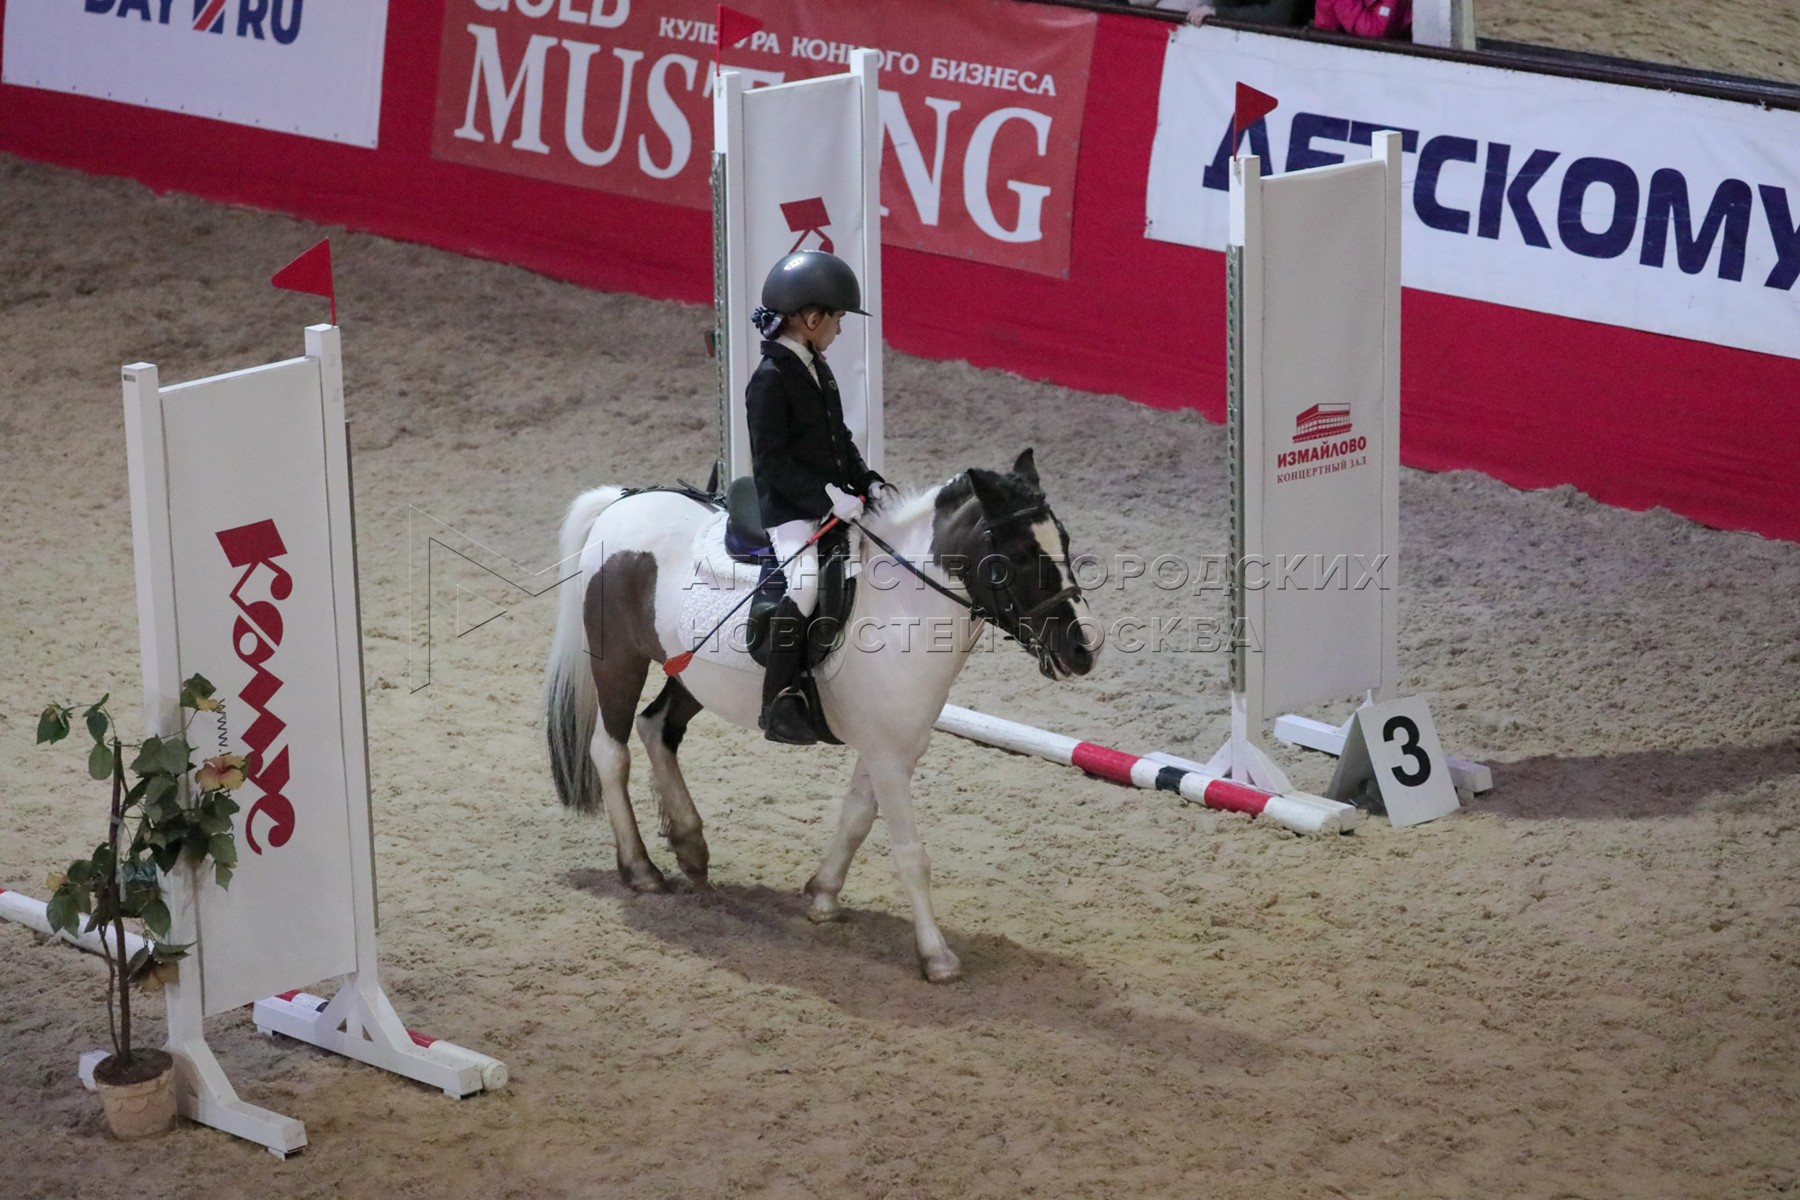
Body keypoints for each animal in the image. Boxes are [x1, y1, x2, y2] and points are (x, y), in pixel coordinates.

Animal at [536, 449, 1094, 985]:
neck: (900, 609)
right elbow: (910, 854)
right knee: (612, 753)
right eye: (1018, 556)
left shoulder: (893, 748)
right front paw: (937, 957)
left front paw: (823, 896)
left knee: (658, 729)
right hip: (619, 661)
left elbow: (854, 820)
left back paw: (691, 847)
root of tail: (624, 500)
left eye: (1064, 541)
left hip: (689, 672)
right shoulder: (889, 757)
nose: (1081, 652)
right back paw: (641, 869)